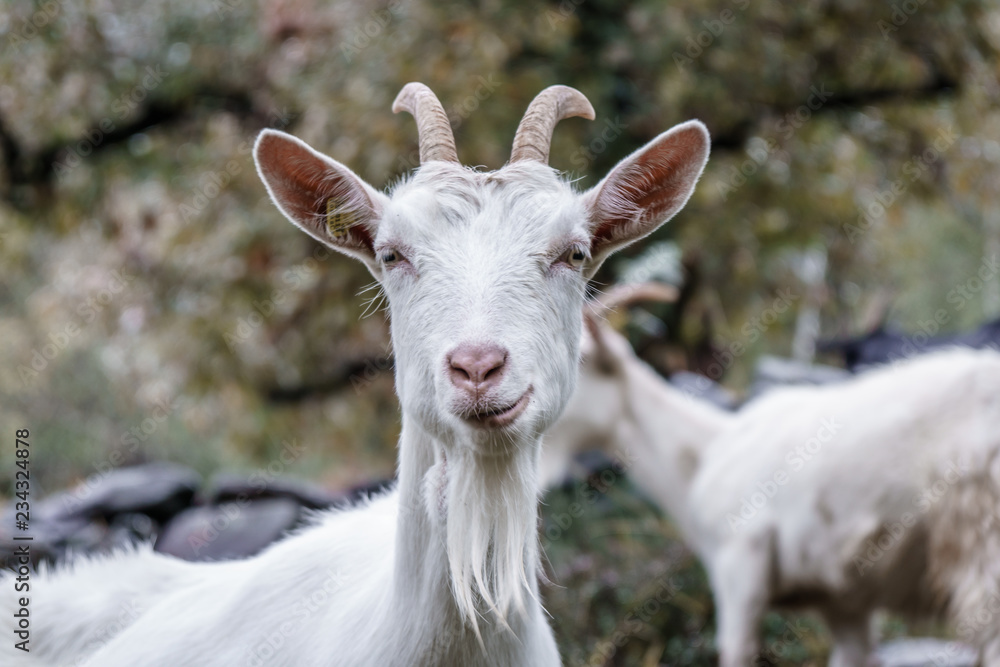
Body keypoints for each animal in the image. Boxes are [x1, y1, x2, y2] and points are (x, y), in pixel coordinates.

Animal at [545, 303, 1000, 667]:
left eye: (582, 358)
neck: (706, 451)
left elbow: (736, 652)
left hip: (980, 545)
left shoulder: (740, 565)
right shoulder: (844, 600)